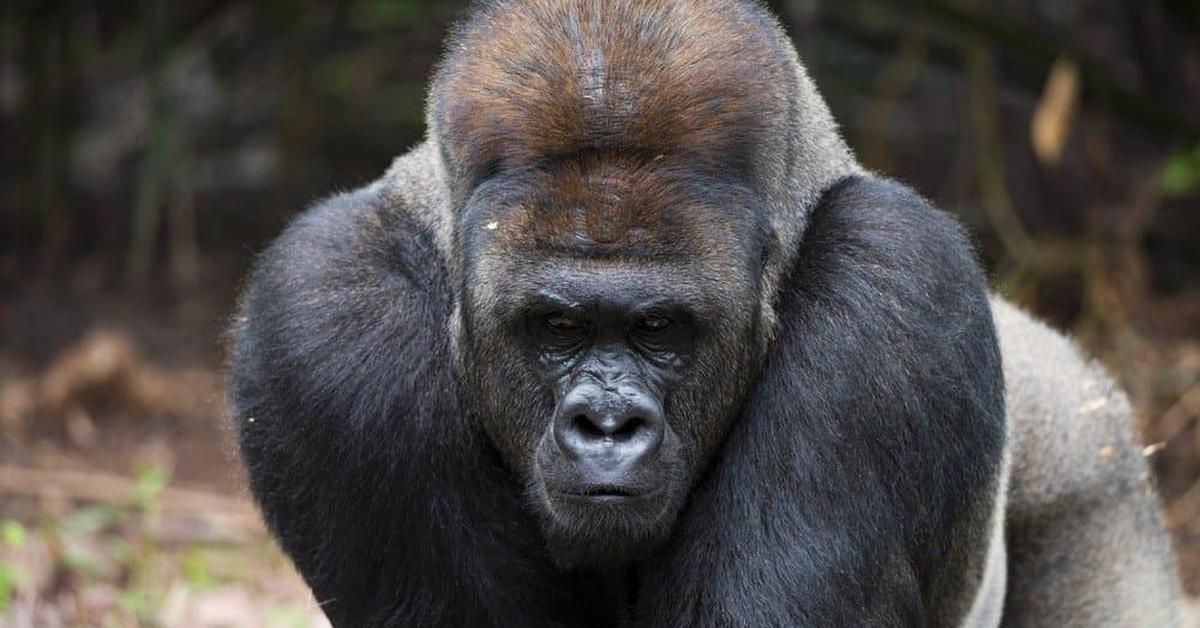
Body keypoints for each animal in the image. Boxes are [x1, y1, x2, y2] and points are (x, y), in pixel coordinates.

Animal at [229, 2, 1185, 624]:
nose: (606, 425)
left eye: (659, 329)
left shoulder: (900, 281)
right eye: (557, 328)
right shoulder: (322, 316)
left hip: (1087, 454)